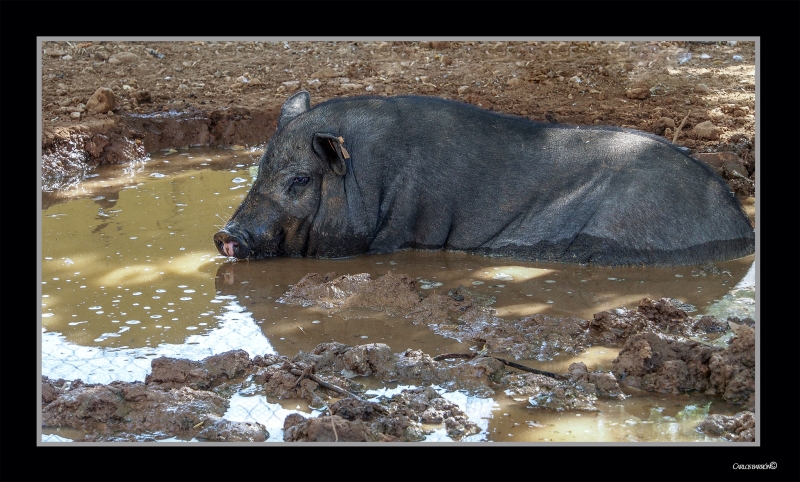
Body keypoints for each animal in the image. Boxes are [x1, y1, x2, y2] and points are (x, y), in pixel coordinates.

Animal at [214, 90, 756, 268]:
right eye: (260, 169)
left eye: (299, 181)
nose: (224, 234)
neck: (374, 177)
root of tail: (739, 225)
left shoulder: (401, 228)